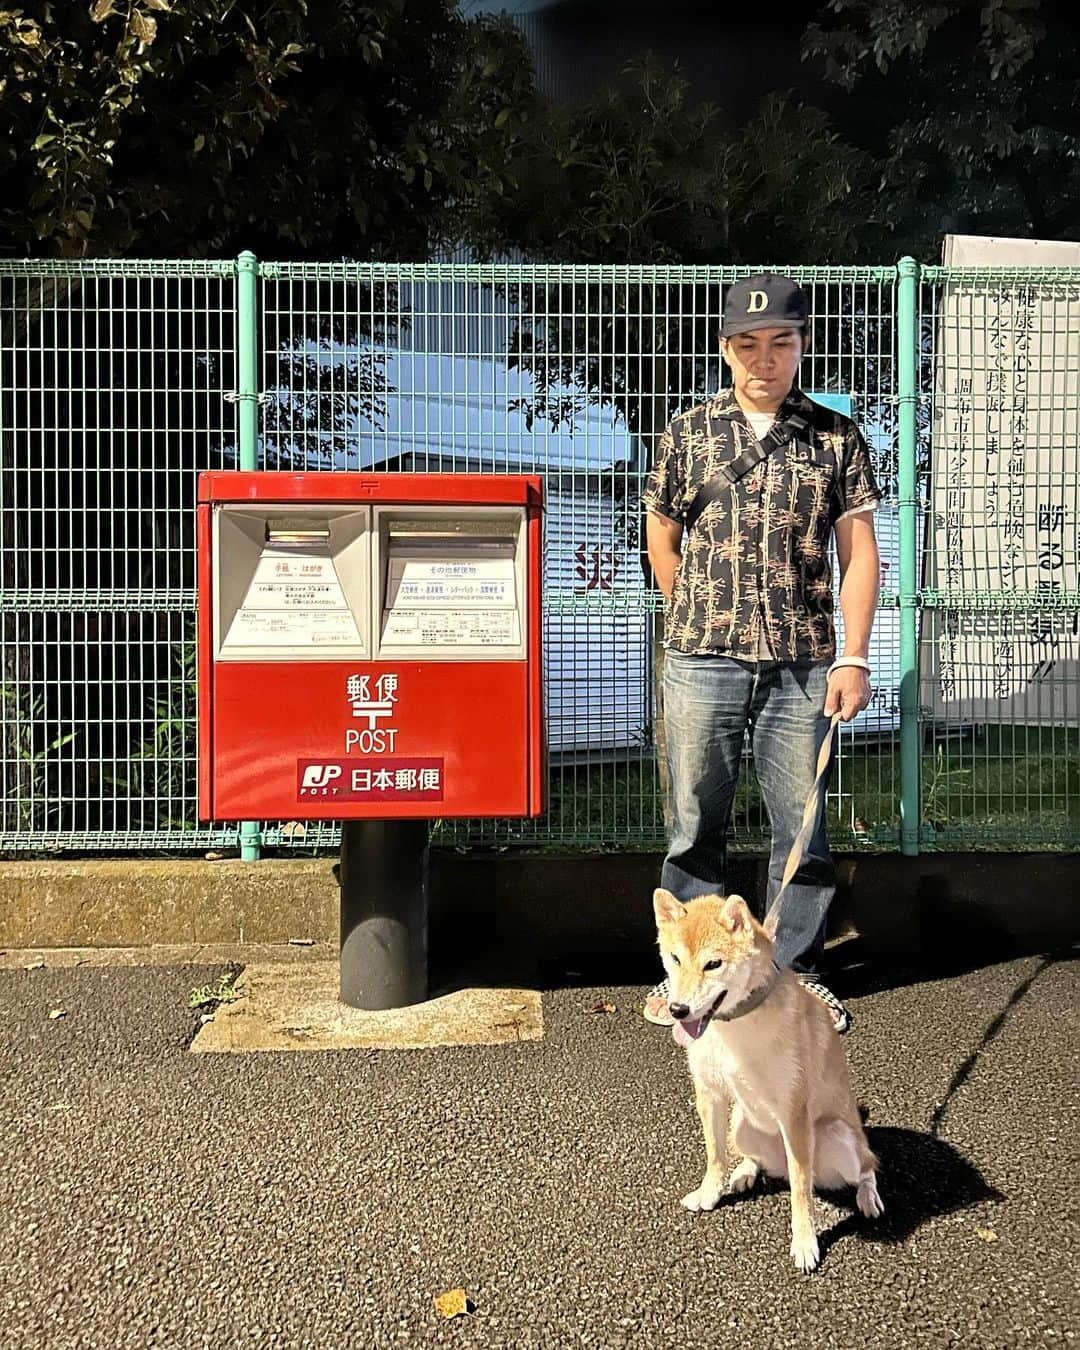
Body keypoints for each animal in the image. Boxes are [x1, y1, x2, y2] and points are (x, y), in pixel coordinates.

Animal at [653, 891, 880, 1269]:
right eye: (675, 959)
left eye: (713, 964)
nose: (678, 1010)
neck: (734, 1026)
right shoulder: (710, 1094)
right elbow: (715, 1155)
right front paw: (709, 1192)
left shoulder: (794, 1110)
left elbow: (801, 1190)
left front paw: (804, 1241)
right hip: (742, 1125)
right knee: (755, 1157)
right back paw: (745, 1171)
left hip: (839, 1137)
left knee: (865, 1165)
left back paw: (868, 1194)